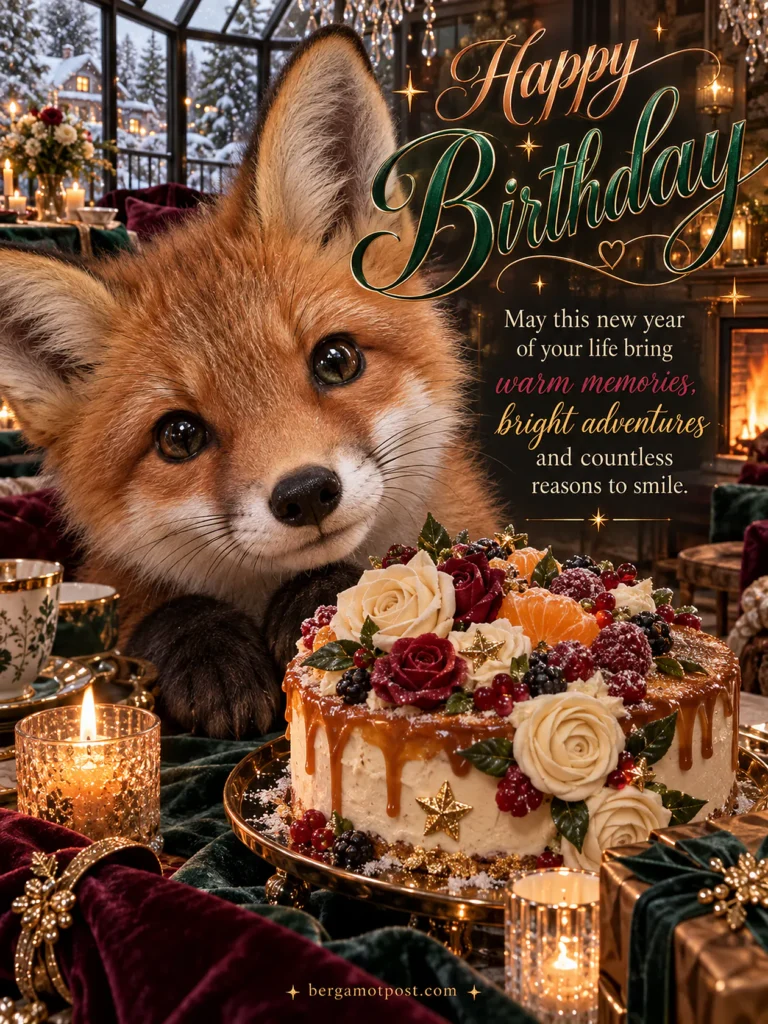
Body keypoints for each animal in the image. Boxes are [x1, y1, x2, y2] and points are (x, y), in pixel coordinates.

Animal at [0, 27, 499, 738]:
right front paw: (209, 647)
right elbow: (152, 607)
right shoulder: (111, 576)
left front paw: (324, 597)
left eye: (336, 360)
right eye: (179, 436)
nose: (307, 494)